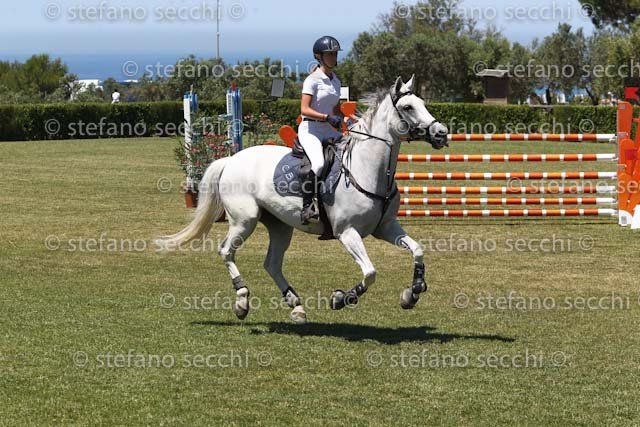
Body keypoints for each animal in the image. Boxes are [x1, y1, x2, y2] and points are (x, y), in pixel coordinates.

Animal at [156, 75, 449, 324]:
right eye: (408, 107)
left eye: (424, 103)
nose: (441, 133)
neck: (367, 169)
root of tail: (231, 159)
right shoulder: (347, 232)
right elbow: (370, 272)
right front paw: (341, 298)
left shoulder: (385, 228)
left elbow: (418, 250)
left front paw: (412, 293)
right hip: (244, 220)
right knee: (227, 251)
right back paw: (242, 301)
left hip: (279, 225)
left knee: (272, 263)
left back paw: (296, 305)